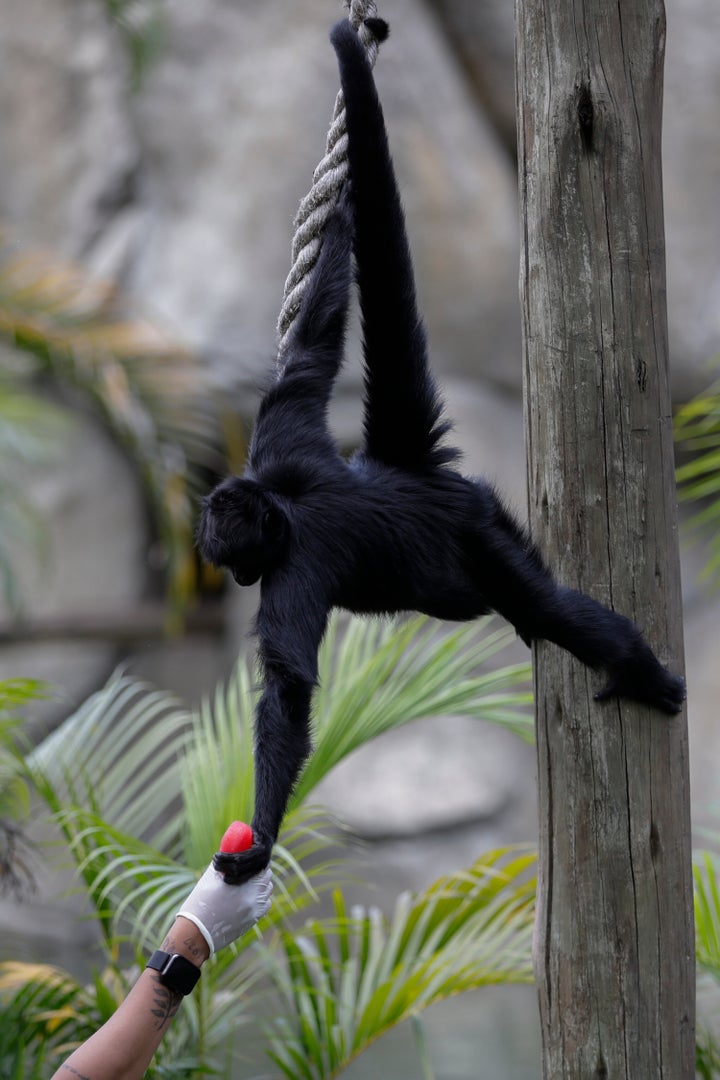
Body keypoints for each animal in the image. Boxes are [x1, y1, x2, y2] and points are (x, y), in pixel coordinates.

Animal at [197, 18, 685, 884]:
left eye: (238, 563)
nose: (232, 571)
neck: (282, 502)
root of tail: (408, 469)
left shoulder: (293, 566)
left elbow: (287, 691)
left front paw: (257, 842)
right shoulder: (282, 430)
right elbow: (313, 348)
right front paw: (340, 223)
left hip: (474, 533)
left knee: (544, 606)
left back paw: (635, 666)